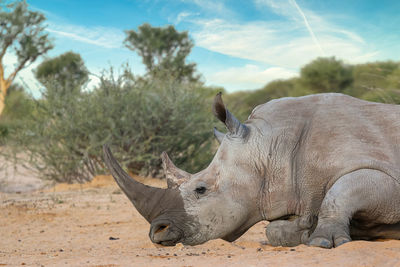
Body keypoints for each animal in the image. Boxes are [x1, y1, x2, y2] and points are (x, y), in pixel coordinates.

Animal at [103, 93, 400, 249]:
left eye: (201, 189)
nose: (157, 232)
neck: (273, 148)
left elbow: (341, 193)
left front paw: (319, 242)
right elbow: (274, 230)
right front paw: (304, 230)